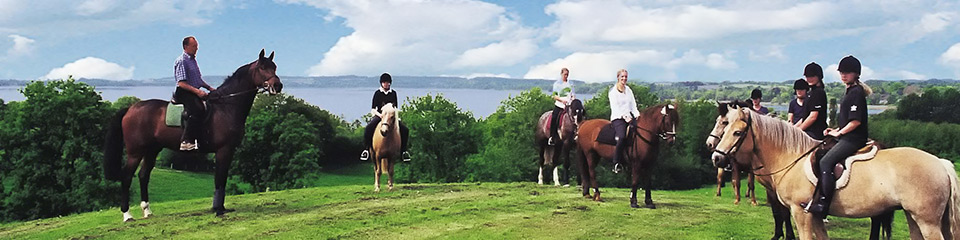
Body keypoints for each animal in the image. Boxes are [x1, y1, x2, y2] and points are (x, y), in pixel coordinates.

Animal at [102, 49, 282, 222]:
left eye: (274, 67)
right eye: (262, 67)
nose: (278, 85)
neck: (226, 107)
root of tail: (130, 109)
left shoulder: (229, 151)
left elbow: (222, 178)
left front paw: (221, 208)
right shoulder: (223, 150)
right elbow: (219, 179)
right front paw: (218, 210)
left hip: (152, 150)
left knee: (143, 175)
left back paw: (147, 211)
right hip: (135, 152)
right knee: (127, 176)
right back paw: (127, 215)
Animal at [708, 107, 956, 240]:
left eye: (736, 132)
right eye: (725, 126)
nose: (716, 157)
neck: (791, 157)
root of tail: (941, 164)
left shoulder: (801, 212)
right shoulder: (814, 216)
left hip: (927, 221)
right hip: (913, 217)